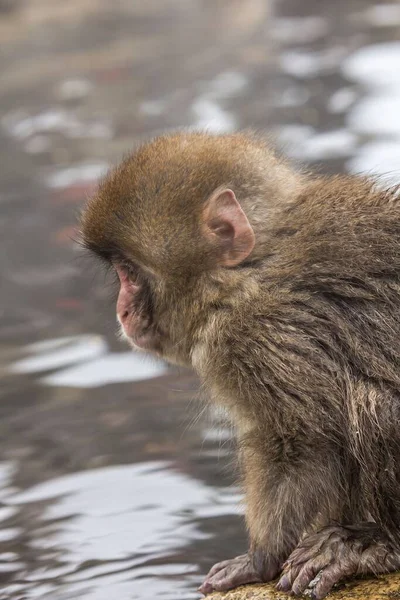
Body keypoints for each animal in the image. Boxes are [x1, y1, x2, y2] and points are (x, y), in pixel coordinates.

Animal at [79, 132, 400, 600]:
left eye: (130, 273)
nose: (121, 311)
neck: (252, 269)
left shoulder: (254, 338)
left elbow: (304, 441)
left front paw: (260, 558)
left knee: (373, 404)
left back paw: (376, 542)